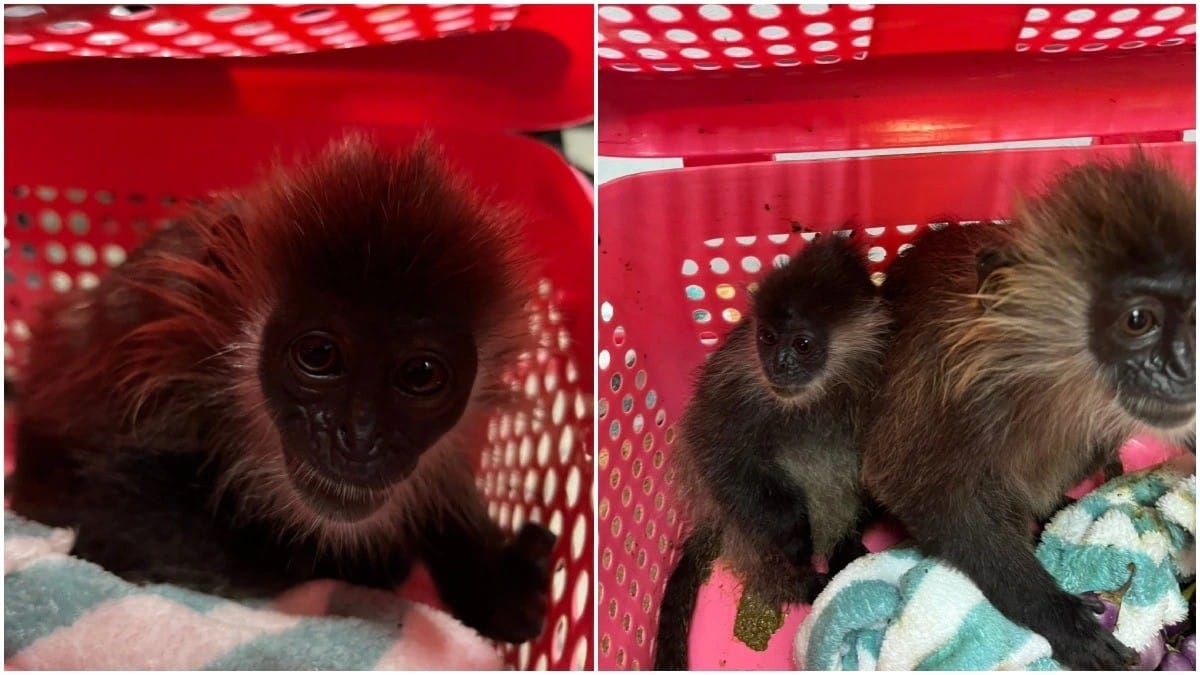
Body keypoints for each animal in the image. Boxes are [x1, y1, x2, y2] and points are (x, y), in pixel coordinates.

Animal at [653, 235, 890, 669]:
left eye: (802, 344)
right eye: (766, 337)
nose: (778, 364)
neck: (812, 401)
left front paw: (849, 539)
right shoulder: (735, 380)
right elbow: (716, 454)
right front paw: (795, 538)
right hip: (737, 526)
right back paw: (811, 584)